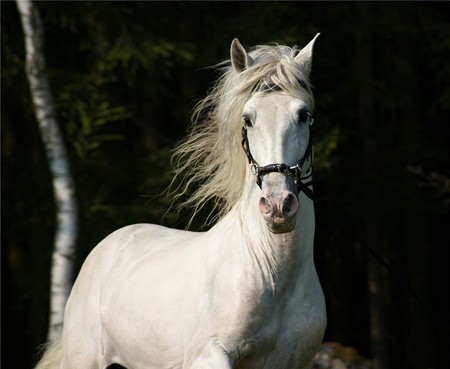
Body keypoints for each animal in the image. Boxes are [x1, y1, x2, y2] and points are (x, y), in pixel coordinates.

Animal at [36, 34, 324, 368]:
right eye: (248, 119)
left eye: (303, 115)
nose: (278, 206)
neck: (275, 277)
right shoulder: (208, 354)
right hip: (83, 360)